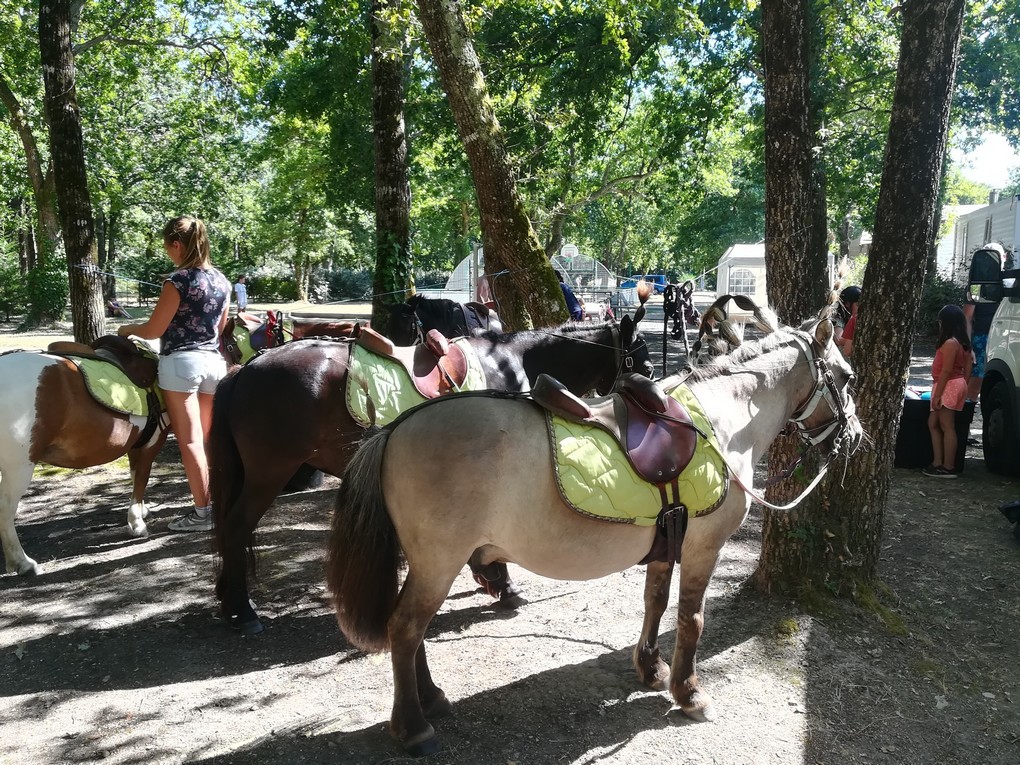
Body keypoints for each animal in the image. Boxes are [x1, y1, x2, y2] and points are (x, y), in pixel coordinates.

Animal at [209, 308, 652, 636]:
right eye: (643, 357)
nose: (645, 389)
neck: (514, 360)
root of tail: (245, 370)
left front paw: (490, 576)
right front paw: (501, 581)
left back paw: (230, 600)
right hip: (270, 471)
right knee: (236, 526)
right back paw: (243, 611)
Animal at [324, 312, 860, 754]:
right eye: (848, 377)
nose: (854, 436)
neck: (720, 424)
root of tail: (394, 429)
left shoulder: (666, 545)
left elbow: (654, 603)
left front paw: (651, 668)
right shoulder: (704, 549)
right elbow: (691, 620)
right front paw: (689, 693)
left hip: (427, 563)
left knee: (410, 630)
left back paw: (431, 698)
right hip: (439, 561)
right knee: (404, 628)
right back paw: (414, 725)